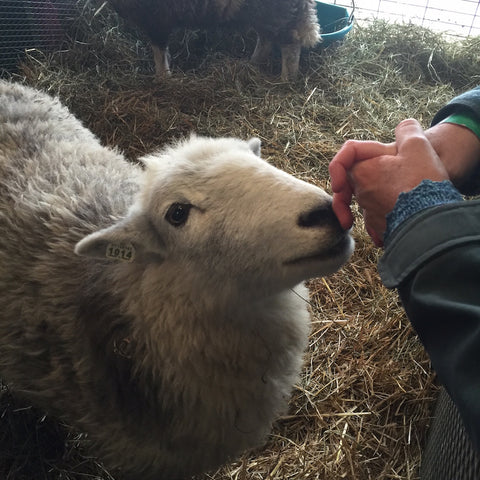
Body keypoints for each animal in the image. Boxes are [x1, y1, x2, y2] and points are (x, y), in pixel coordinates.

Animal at [106, 0, 320, 81]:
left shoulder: (156, 18)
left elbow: (159, 51)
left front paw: (163, 77)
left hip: (277, 11)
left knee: (290, 45)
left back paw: (286, 79)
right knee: (267, 38)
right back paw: (253, 63)